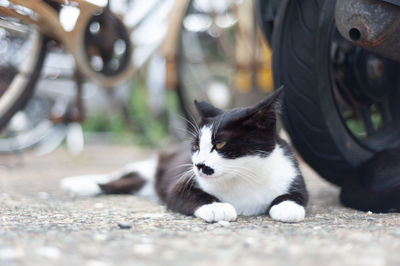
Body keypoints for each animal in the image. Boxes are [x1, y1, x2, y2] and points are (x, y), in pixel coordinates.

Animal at [61, 89, 308, 222]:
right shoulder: (181, 184)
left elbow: (296, 196)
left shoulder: (292, 174)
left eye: (220, 143)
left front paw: (287, 207)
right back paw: (78, 183)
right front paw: (217, 206)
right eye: (196, 146)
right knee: (116, 179)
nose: (198, 165)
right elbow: (185, 195)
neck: (244, 176)